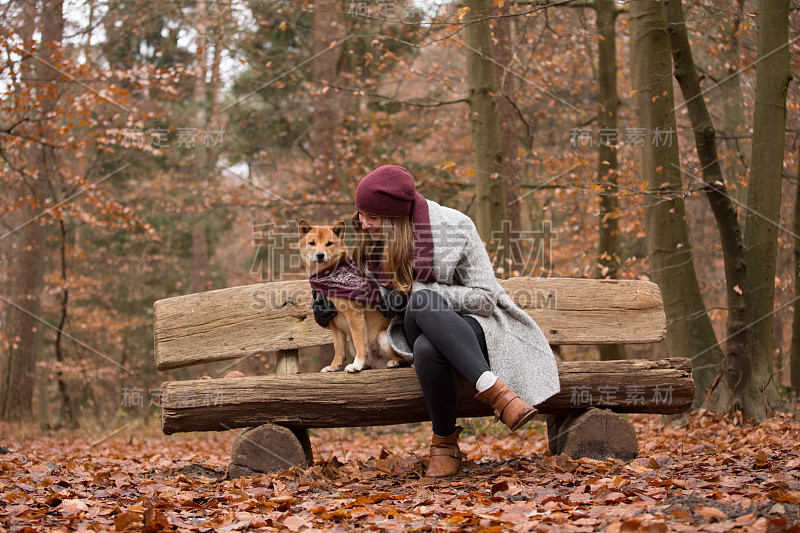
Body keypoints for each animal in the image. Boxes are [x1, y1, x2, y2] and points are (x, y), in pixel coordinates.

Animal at [296, 218, 404, 372]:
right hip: (352, 346)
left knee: (405, 359)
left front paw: (356, 364)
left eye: (329, 243)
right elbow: (338, 348)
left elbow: (360, 343)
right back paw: (367, 366)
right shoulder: (332, 320)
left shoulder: (354, 315)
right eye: (312, 243)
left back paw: (393, 362)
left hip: (383, 337)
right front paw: (334, 366)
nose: (320, 255)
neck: (329, 275)